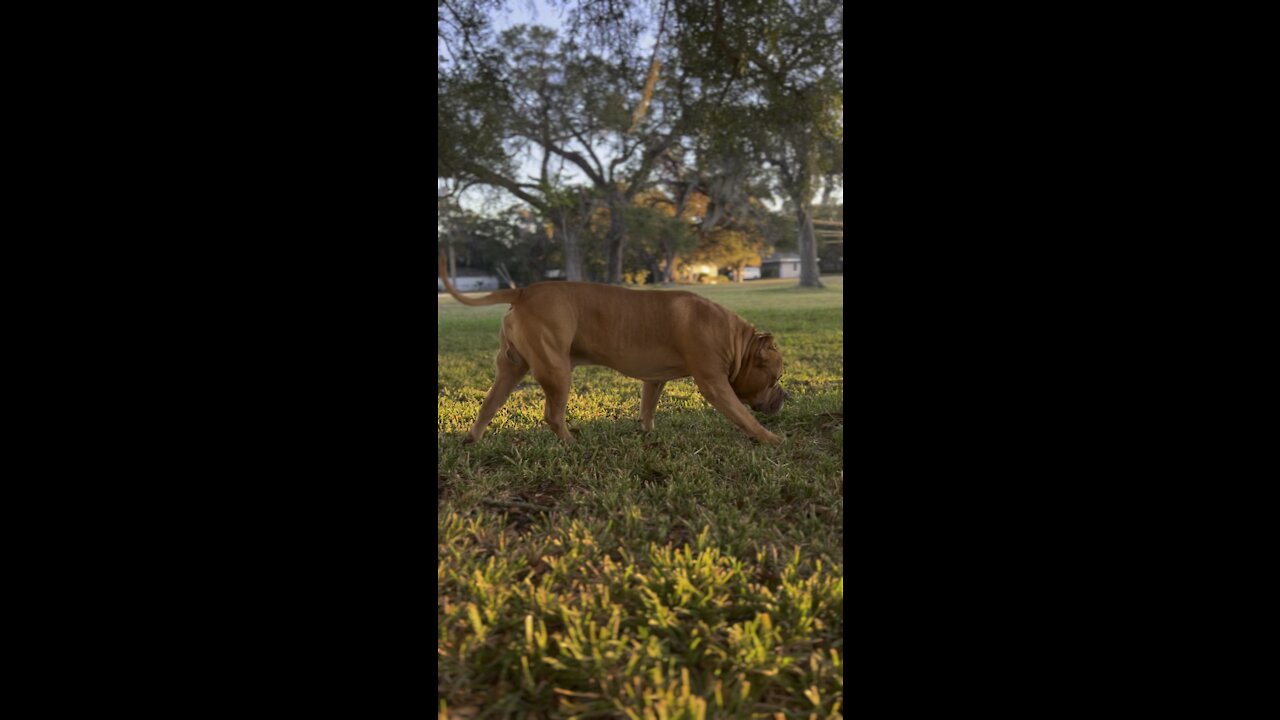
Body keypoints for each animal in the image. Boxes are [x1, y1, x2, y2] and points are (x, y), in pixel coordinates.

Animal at [440, 252, 788, 443]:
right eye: (775, 379)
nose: (786, 397)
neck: (736, 340)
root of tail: (523, 291)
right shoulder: (715, 384)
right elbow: (743, 416)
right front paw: (769, 438)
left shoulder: (654, 380)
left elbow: (647, 407)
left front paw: (647, 432)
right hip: (556, 370)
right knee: (552, 415)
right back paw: (571, 442)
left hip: (512, 368)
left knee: (489, 403)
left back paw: (472, 439)